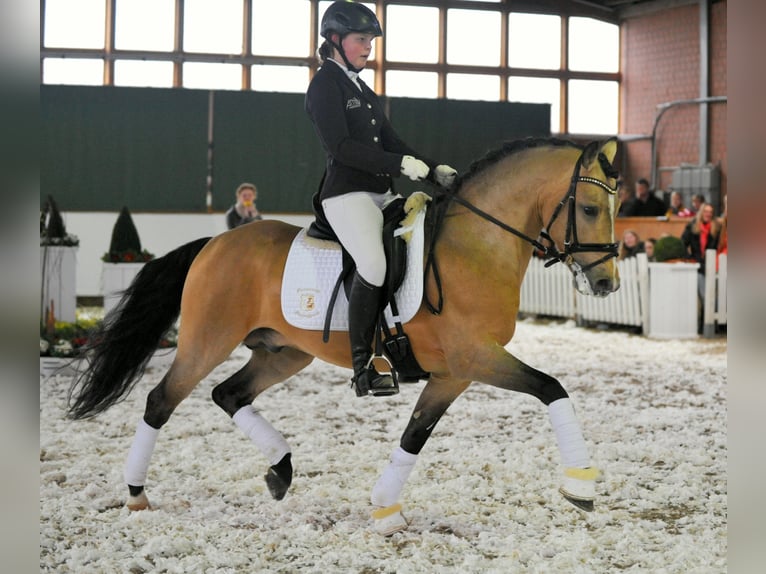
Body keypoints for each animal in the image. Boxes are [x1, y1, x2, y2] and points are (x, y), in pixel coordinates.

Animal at [68, 136, 621, 536]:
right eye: (591, 209)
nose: (606, 284)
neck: (475, 247)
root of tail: (216, 242)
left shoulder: (455, 372)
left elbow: (415, 434)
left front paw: (386, 510)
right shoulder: (477, 358)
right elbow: (552, 388)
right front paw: (580, 487)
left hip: (283, 352)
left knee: (229, 394)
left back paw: (281, 471)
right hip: (207, 342)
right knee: (162, 400)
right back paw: (137, 494)